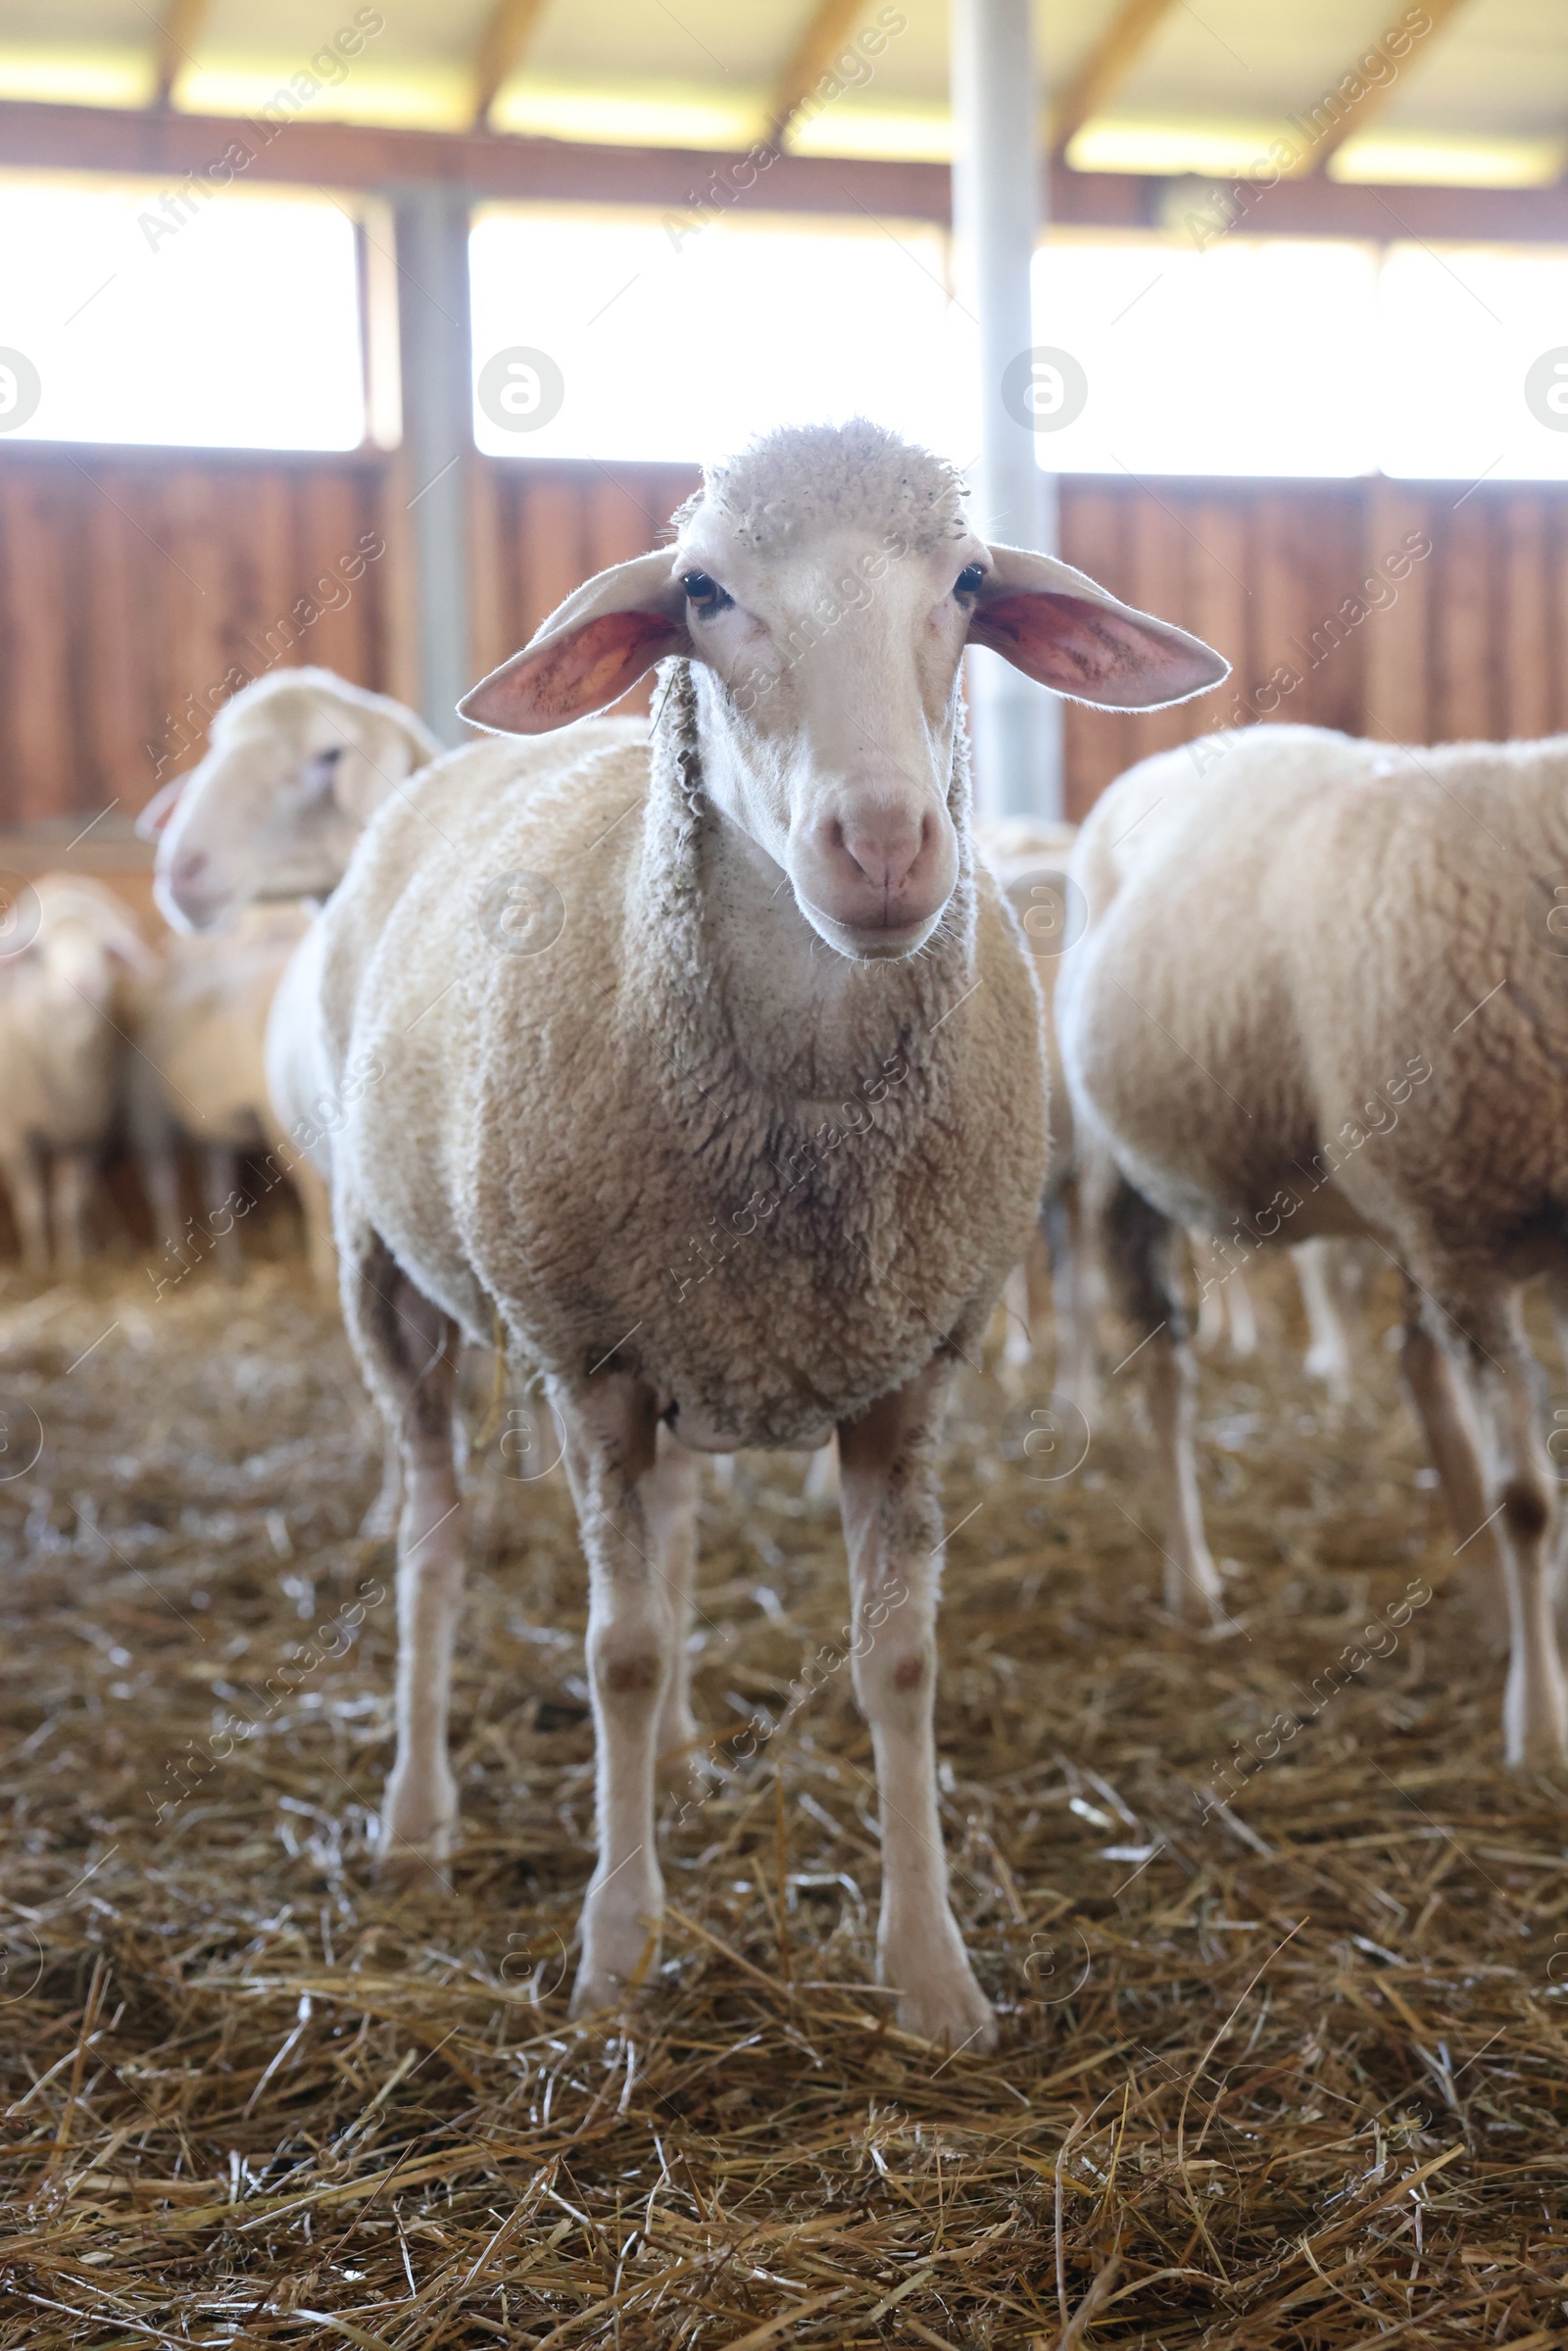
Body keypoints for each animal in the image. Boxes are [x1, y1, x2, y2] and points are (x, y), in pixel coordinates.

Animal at [305, 427, 1222, 2040]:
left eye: (968, 583)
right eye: (703, 591)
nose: (884, 842)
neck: (802, 1129)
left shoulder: (905, 1363)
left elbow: (896, 1657)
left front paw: (931, 1974)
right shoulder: (591, 1363)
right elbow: (613, 1652)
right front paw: (616, 1955)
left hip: (692, 1323)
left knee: (666, 1535)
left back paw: (669, 1755)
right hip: (390, 1275)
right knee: (433, 1538)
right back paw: (417, 1816)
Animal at [1053, 714, 1568, 1768]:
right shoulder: (1467, 1238)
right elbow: (1531, 1499)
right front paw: (1538, 1728)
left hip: (1405, 1207)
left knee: (1416, 1369)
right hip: (1126, 1171)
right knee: (1165, 1371)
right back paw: (1195, 1580)